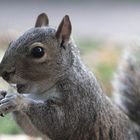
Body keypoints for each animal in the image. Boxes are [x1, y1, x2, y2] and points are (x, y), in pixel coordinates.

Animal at [0, 12, 138, 139]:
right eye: (10, 43)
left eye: (38, 51)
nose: (3, 72)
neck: (41, 92)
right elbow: (30, 130)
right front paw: (4, 94)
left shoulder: (79, 99)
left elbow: (61, 124)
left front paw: (17, 100)